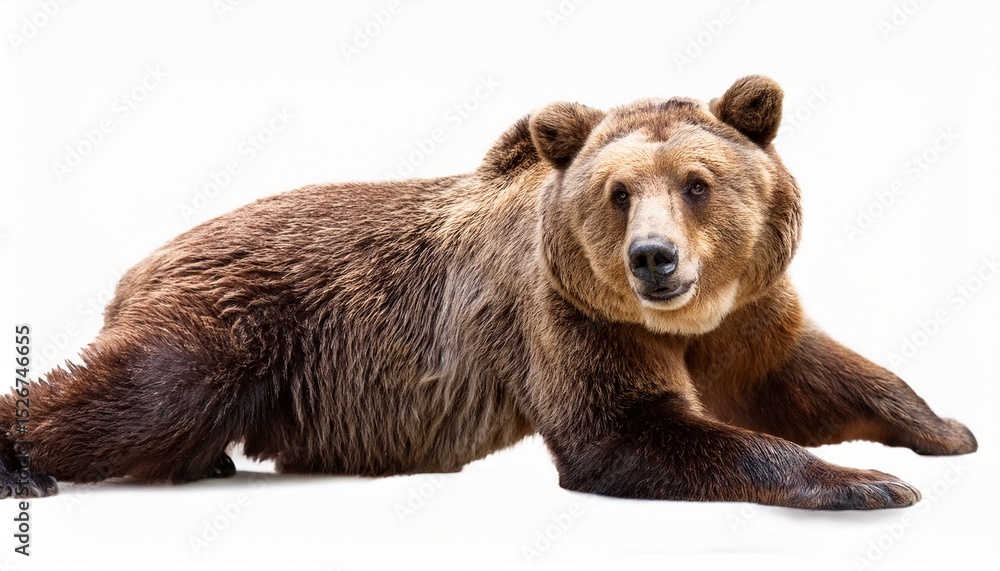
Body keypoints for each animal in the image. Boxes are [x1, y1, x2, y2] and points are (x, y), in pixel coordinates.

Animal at [0, 75, 977, 509]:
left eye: (698, 183)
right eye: (618, 191)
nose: (653, 259)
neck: (677, 318)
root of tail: (140, 261)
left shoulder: (740, 314)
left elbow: (801, 374)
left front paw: (943, 429)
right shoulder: (565, 313)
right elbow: (628, 430)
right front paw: (865, 481)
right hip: (231, 320)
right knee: (138, 394)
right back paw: (26, 464)